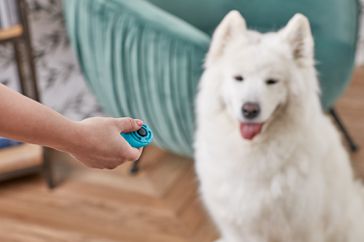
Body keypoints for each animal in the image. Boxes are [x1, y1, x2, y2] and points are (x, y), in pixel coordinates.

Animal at [195, 10, 364, 242]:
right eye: (238, 78)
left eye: (272, 81)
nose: (249, 110)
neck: (254, 155)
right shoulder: (237, 228)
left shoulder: (304, 229)